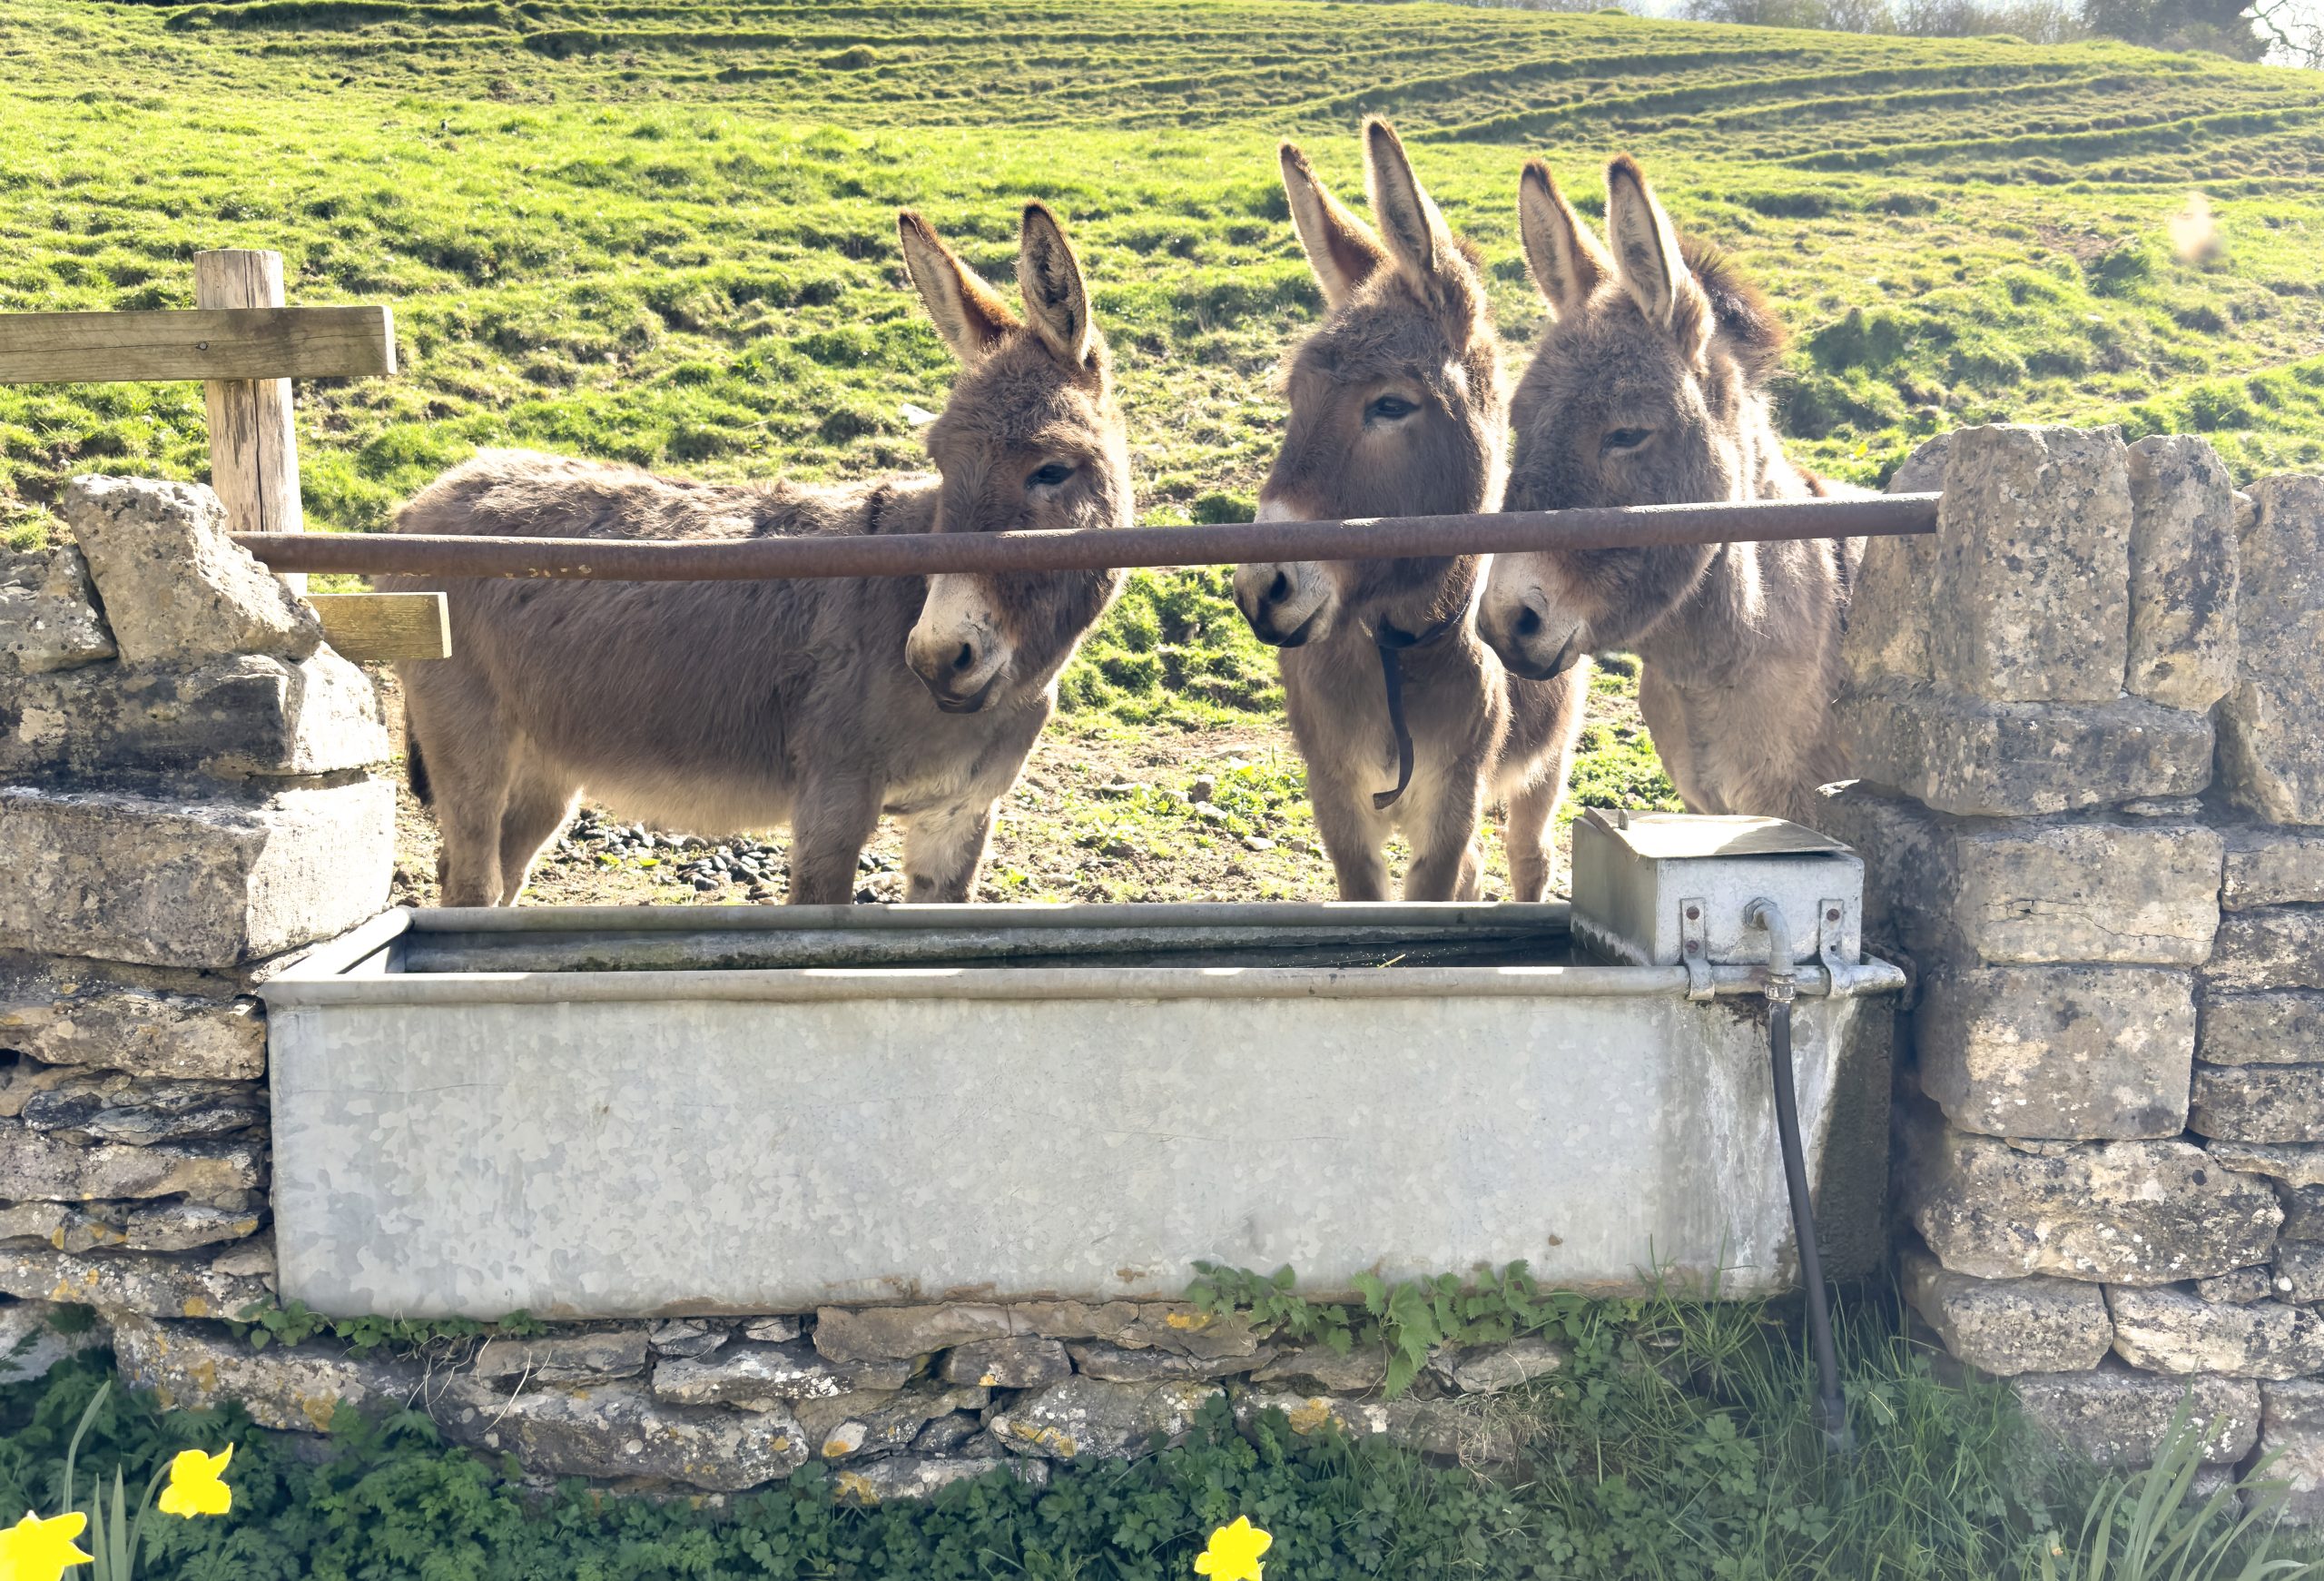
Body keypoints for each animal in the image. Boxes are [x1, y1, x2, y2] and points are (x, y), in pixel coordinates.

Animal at [388, 203, 1130, 906]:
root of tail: (426, 497)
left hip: (547, 764)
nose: (937, 657)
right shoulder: (832, 798)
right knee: (470, 882)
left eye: (1052, 470)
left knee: (498, 880)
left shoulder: (960, 814)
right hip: (470, 745)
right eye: (942, 464)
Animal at [1231, 121, 1588, 903]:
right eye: (1295, 400)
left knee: (1530, 852)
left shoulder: (1453, 798)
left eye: (1391, 405)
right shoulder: (1334, 798)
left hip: (1547, 758)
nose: (1260, 588)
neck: (1392, 647)